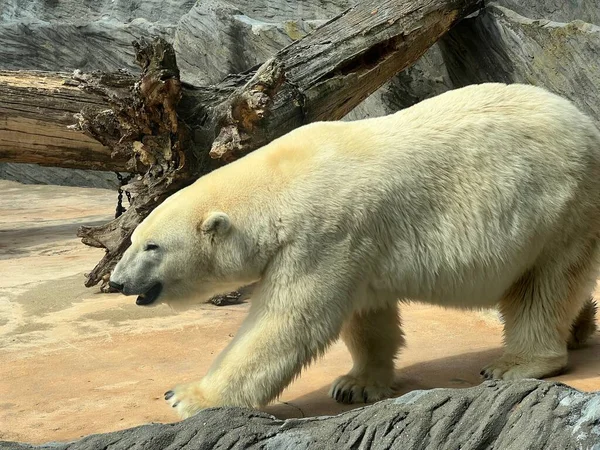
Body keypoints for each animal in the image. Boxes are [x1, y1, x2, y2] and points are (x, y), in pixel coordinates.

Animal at [109, 83, 600, 418]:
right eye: (132, 240)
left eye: (153, 246)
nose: (117, 281)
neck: (279, 183)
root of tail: (584, 124)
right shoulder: (358, 243)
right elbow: (367, 314)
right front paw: (357, 384)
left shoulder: (323, 233)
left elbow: (288, 322)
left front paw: (186, 396)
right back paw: (579, 327)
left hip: (559, 208)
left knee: (545, 284)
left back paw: (516, 363)